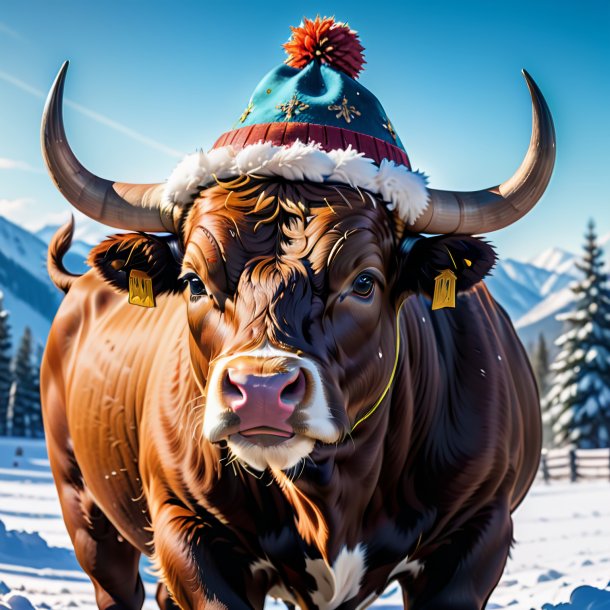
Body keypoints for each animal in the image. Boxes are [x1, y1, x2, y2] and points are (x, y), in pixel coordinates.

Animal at [38, 47, 552, 608]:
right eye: (194, 281)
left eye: (364, 282)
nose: (261, 391)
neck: (332, 493)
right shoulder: (186, 526)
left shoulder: (478, 532)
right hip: (82, 503)